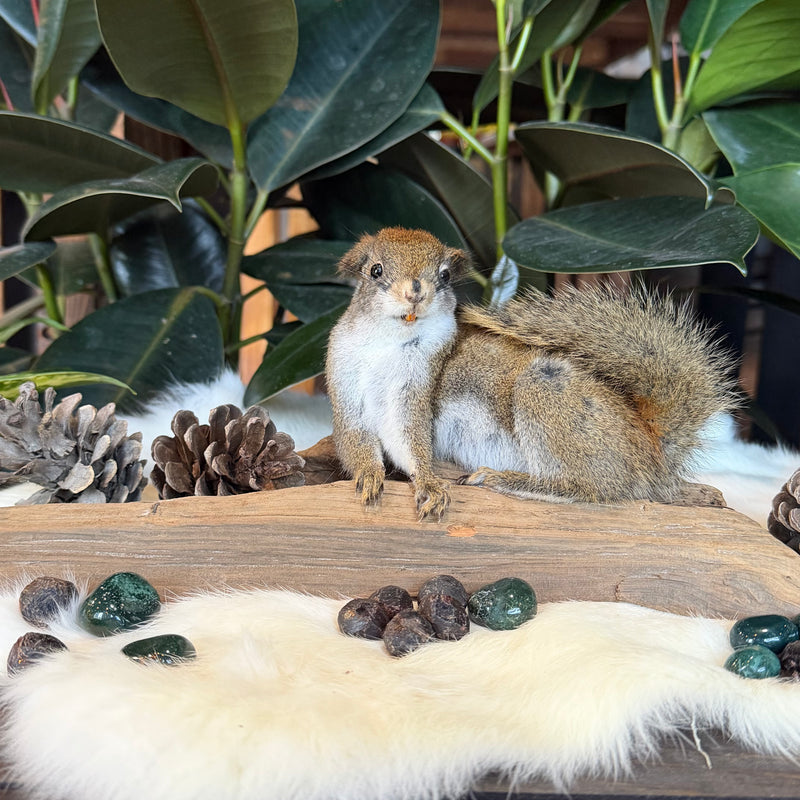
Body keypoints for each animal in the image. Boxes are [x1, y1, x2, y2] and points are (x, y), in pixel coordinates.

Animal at [325, 226, 735, 520]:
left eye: (443, 276)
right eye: (375, 270)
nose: (414, 292)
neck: (389, 341)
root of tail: (652, 457)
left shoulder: (413, 391)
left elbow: (409, 439)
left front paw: (429, 483)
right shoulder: (345, 382)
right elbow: (355, 438)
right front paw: (369, 474)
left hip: (546, 391)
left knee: (585, 488)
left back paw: (501, 478)